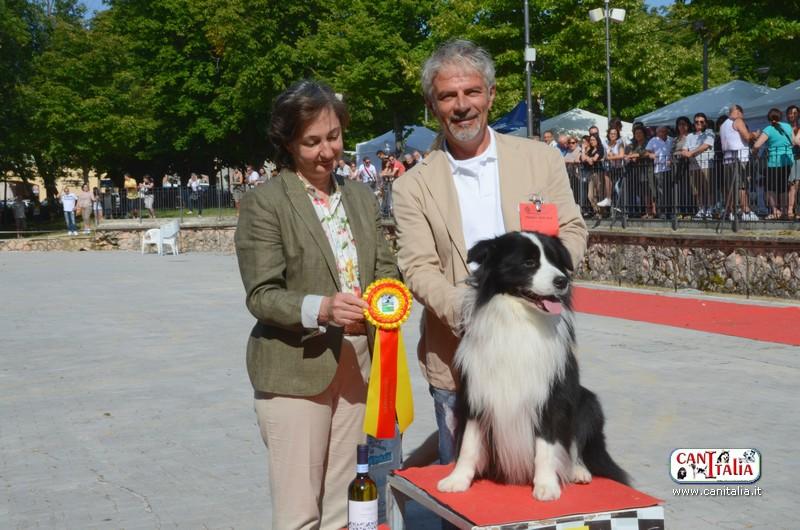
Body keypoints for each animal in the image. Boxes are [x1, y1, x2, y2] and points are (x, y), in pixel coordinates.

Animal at [437, 231, 630, 501]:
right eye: (528, 263)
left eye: (555, 261)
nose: (561, 281)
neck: (521, 320)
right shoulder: (477, 392)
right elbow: (468, 444)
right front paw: (458, 479)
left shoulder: (550, 397)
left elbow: (546, 446)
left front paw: (546, 485)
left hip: (588, 403)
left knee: (576, 444)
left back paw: (578, 470)